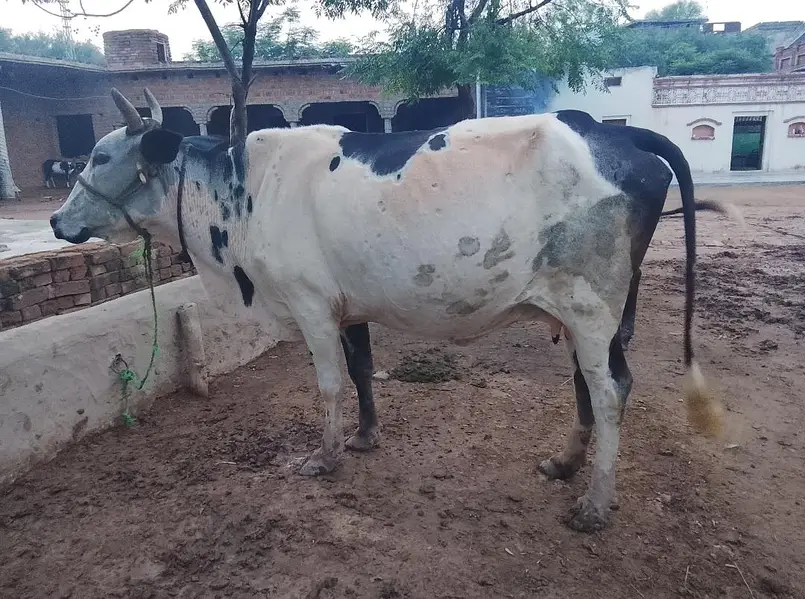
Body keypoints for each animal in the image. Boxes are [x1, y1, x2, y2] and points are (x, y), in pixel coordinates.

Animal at [50, 89, 723, 532]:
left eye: (101, 158)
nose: (56, 221)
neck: (242, 191)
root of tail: (619, 132)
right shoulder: (349, 307)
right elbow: (361, 370)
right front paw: (367, 436)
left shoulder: (310, 304)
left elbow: (328, 384)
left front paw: (326, 457)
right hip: (589, 313)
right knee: (594, 383)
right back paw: (565, 464)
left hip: (590, 305)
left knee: (609, 391)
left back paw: (594, 505)